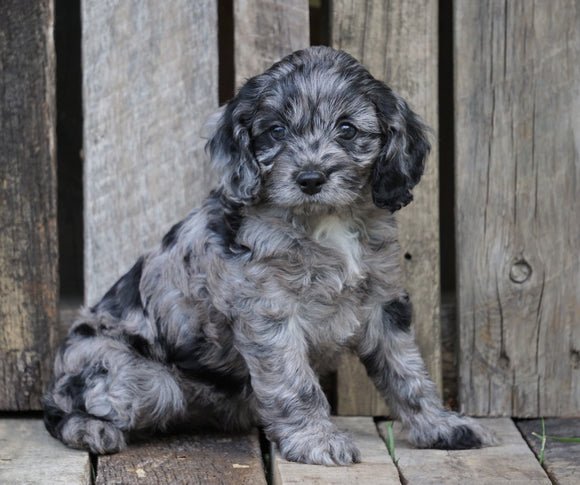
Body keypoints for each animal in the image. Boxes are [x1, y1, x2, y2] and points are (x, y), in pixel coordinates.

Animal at [45, 46, 494, 466]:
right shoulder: (269, 312)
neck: (325, 221)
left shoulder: (384, 303)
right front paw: (317, 440)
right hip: (144, 380)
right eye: (276, 131)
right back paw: (92, 430)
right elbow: (296, 382)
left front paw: (441, 426)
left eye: (347, 129)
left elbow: (408, 372)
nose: (310, 178)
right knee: (59, 407)